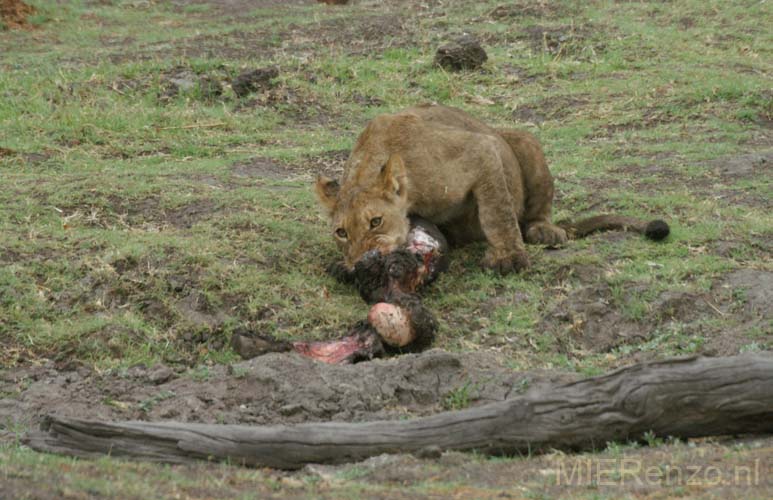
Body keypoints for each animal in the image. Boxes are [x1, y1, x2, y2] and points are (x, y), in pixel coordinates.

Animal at [316, 102, 668, 274]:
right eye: (341, 233)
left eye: (376, 221)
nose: (362, 261)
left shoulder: (479, 149)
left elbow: (497, 212)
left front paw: (509, 257)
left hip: (524, 140)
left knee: (534, 213)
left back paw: (544, 230)